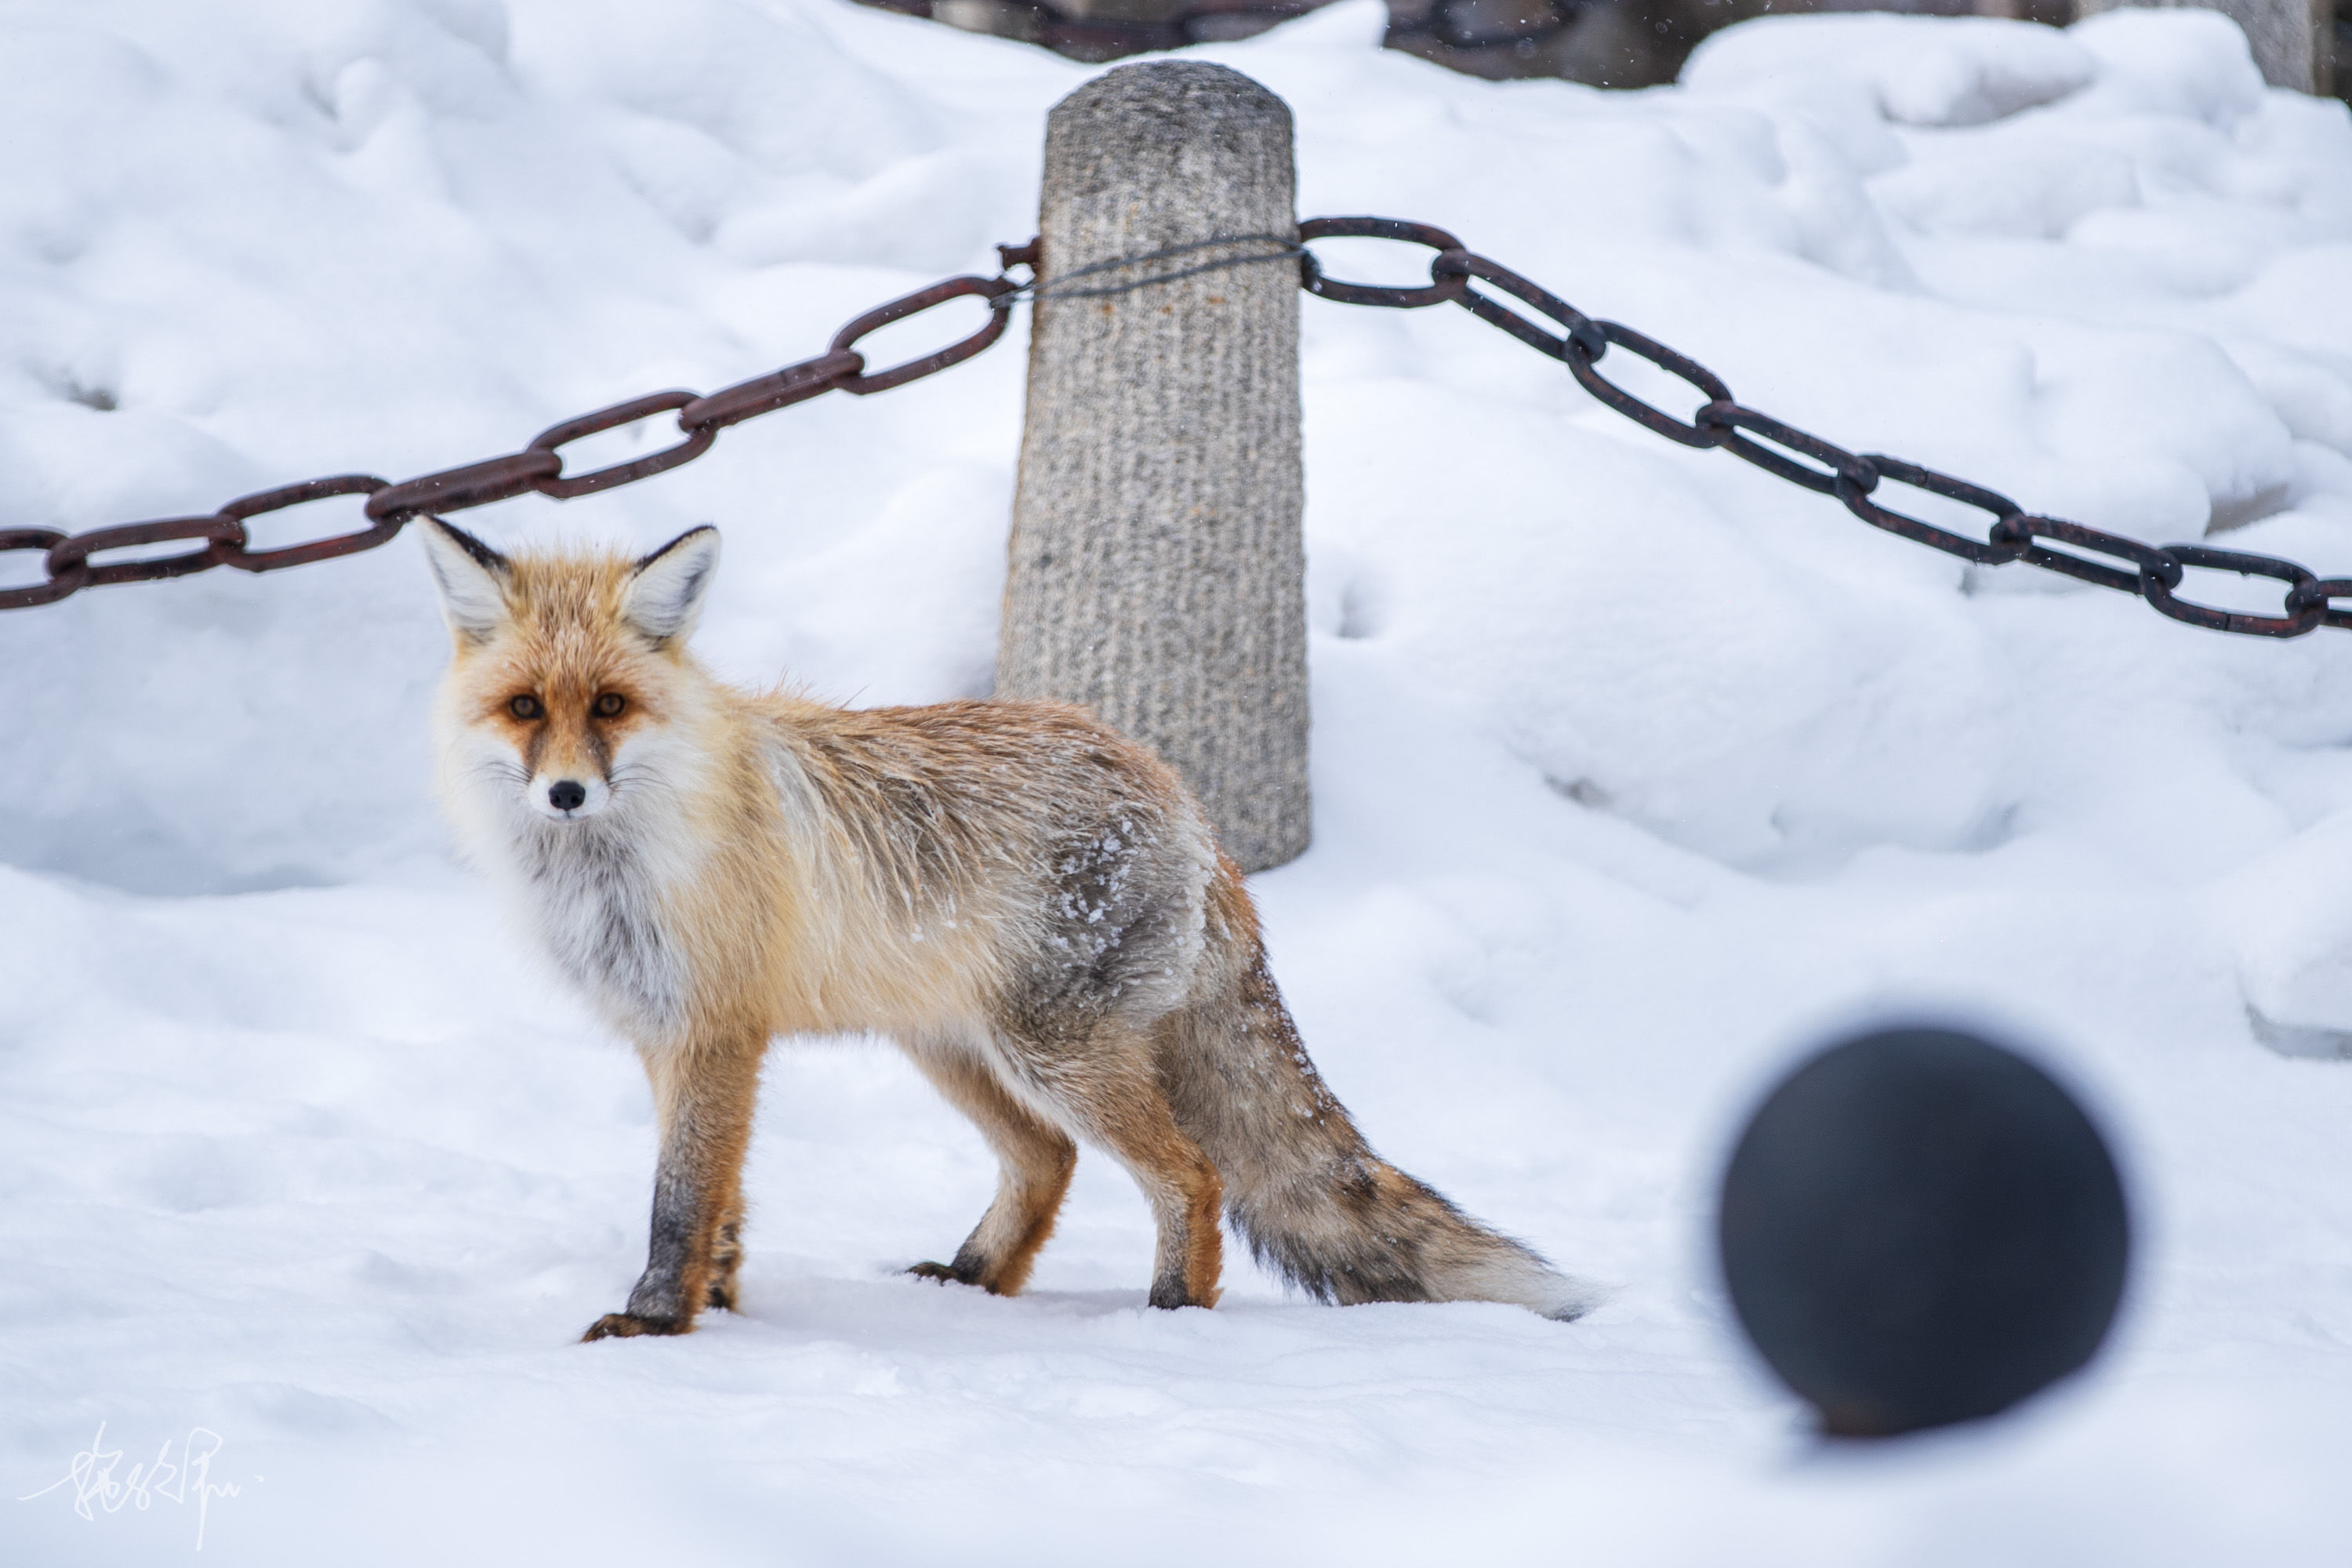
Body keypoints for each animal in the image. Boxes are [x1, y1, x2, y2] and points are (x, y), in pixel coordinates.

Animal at [426, 514, 1599, 1335]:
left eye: (611, 706)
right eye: (525, 708)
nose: (565, 794)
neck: (612, 870)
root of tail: (1177, 793)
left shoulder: (715, 1033)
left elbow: (679, 1203)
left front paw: (659, 1323)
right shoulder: (671, 1038)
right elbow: (722, 1204)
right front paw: (714, 1307)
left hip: (1052, 1052)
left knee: (1189, 1173)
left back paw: (1173, 1317)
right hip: (955, 1046)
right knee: (1047, 1161)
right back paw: (973, 1281)